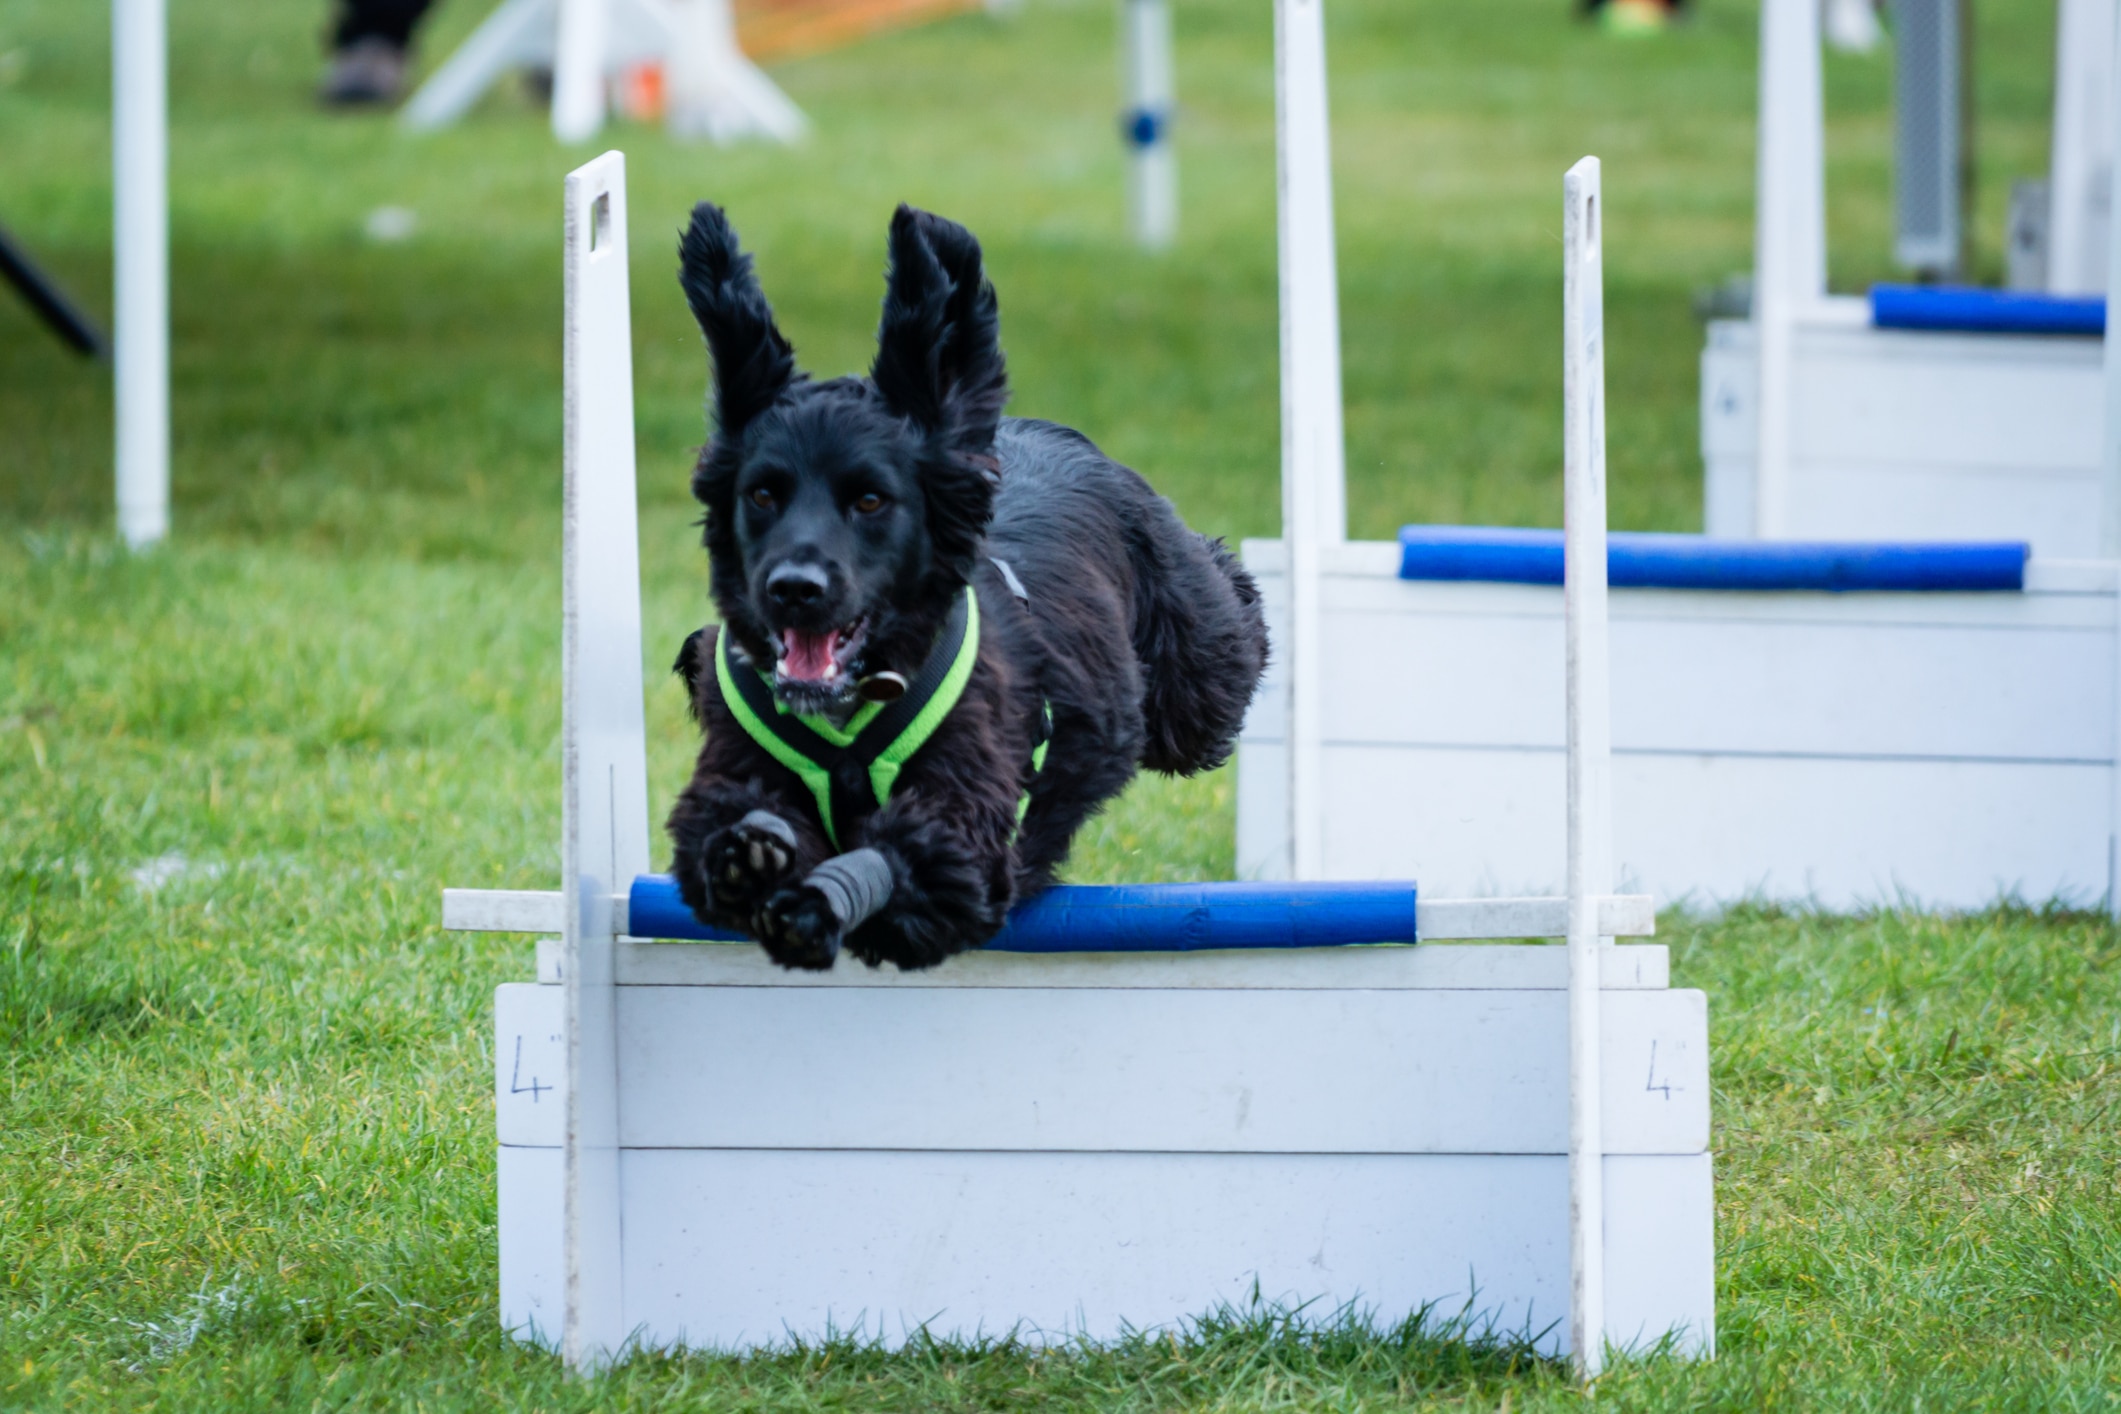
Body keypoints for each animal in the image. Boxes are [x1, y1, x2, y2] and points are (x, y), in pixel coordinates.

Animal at [665, 201, 1255, 975]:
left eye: (870, 500)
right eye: (763, 493)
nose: (794, 588)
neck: (849, 712)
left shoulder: (966, 828)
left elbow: (902, 867)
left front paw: (812, 904)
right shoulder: (729, 770)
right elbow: (716, 833)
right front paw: (754, 860)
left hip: (1194, 668)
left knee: (1229, 618)